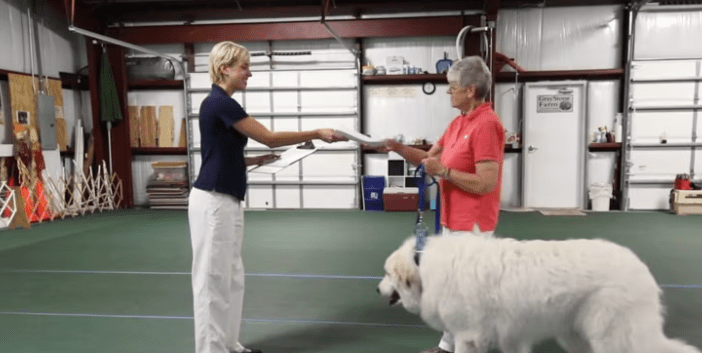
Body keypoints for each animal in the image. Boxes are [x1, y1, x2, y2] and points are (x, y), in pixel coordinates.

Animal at [380, 234, 702, 352]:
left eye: (386, 274)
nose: (376, 287)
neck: (423, 266)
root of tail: (641, 269)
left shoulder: (468, 336)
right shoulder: (508, 337)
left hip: (611, 335)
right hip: (575, 335)